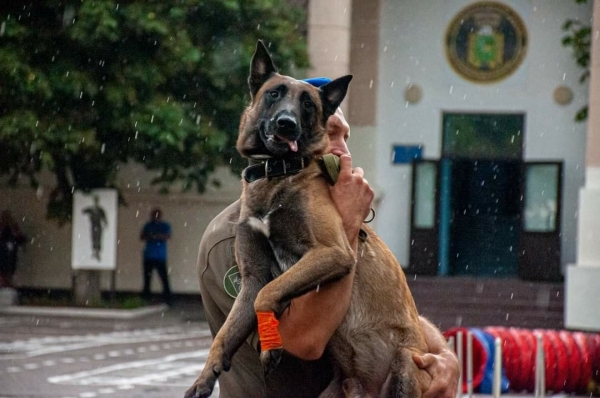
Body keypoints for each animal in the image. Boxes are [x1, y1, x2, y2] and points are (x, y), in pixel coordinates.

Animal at [185, 41, 428, 398]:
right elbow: (226, 332)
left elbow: (268, 294)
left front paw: (271, 346)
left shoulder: (331, 253)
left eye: (308, 104)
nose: (286, 123)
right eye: (273, 94)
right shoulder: (252, 276)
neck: (277, 172)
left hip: (406, 365)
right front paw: (205, 375)